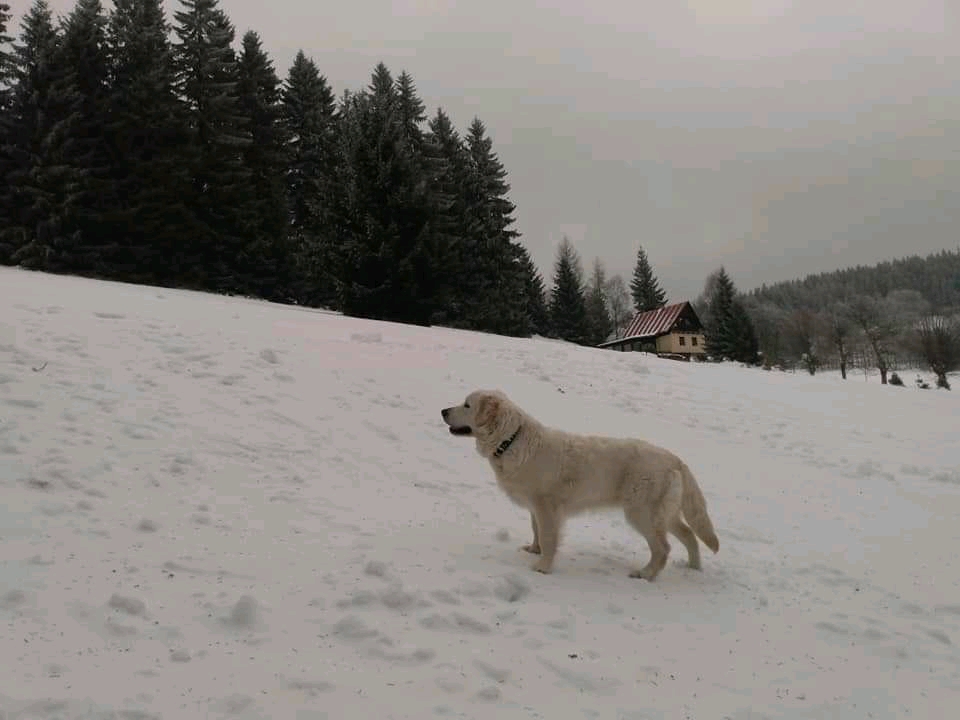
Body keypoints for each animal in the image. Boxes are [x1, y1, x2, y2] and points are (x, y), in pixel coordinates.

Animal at [438, 388, 716, 580]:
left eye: (467, 404)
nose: (442, 411)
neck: (511, 440)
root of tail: (674, 458)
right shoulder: (534, 506)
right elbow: (536, 530)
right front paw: (534, 549)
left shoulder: (546, 506)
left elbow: (548, 536)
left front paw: (542, 567)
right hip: (665, 514)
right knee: (690, 535)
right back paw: (693, 568)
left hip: (641, 513)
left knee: (663, 548)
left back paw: (645, 574)